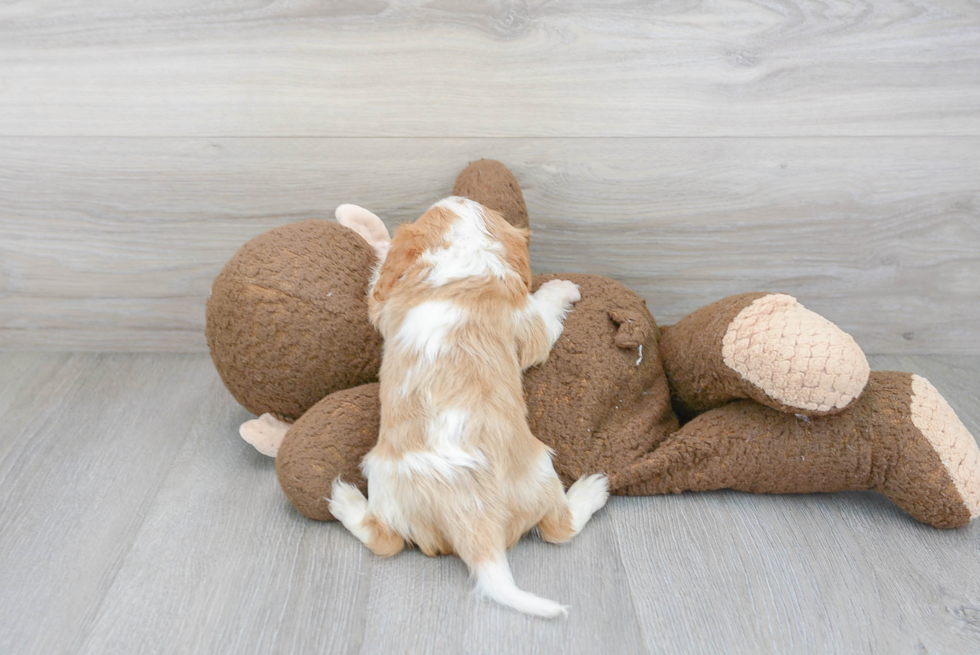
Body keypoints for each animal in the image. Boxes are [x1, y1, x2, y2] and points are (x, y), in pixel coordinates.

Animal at [334, 197, 608, 616]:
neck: (460, 253)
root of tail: (472, 518)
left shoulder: (387, 303)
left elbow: (383, 264)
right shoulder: (529, 323)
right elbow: (544, 312)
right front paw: (560, 289)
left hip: (385, 476)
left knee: (385, 539)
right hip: (542, 469)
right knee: (559, 528)